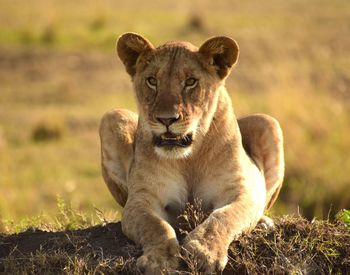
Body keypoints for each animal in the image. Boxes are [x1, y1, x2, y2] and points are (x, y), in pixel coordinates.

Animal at [99, 32, 284, 274]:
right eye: (152, 81)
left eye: (190, 82)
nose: (166, 119)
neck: (189, 158)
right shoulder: (140, 200)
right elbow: (156, 226)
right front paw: (160, 259)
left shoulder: (241, 192)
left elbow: (222, 218)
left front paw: (203, 252)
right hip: (113, 118)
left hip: (267, 122)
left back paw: (263, 223)